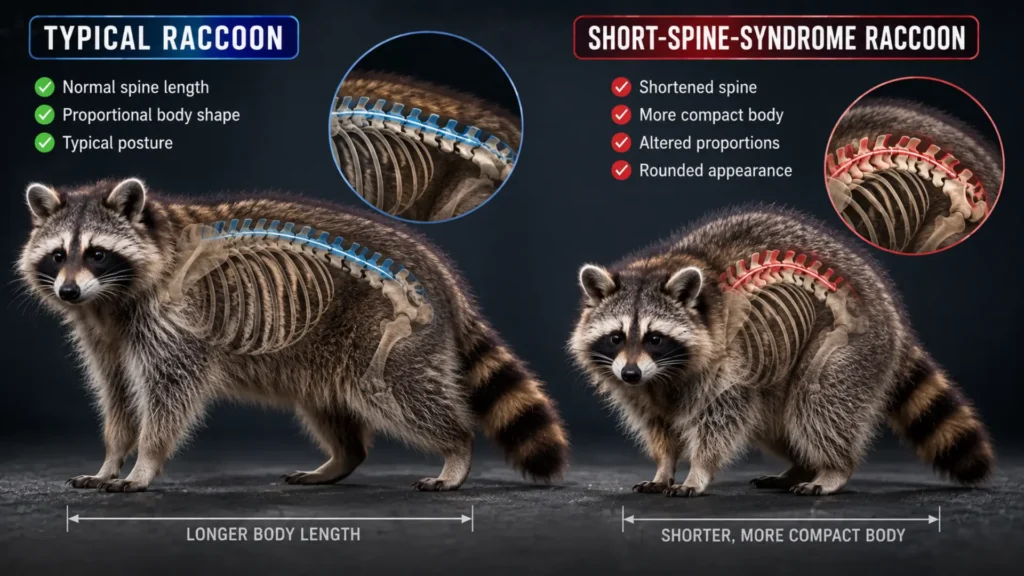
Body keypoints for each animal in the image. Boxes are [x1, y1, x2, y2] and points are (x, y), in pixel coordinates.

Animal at [19, 177, 567, 492]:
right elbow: (116, 396)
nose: (68, 291)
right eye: (58, 255)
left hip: (389, 336)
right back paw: (343, 457)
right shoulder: (105, 333)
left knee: (402, 392)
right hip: (324, 353)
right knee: (328, 404)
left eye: (96, 253)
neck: (107, 300)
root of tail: (439, 273)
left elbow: (169, 394)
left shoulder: (174, 320)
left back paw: (456, 448)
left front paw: (145, 462)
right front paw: (112, 458)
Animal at [570, 206, 993, 496]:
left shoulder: (730, 360)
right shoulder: (642, 388)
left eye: (655, 338)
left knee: (817, 407)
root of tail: (893, 315)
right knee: (780, 421)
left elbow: (720, 421)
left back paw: (834, 468)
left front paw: (698, 470)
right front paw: (664, 466)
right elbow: (658, 426)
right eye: (616, 337)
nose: (630, 373)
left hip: (848, 346)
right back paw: (802, 466)